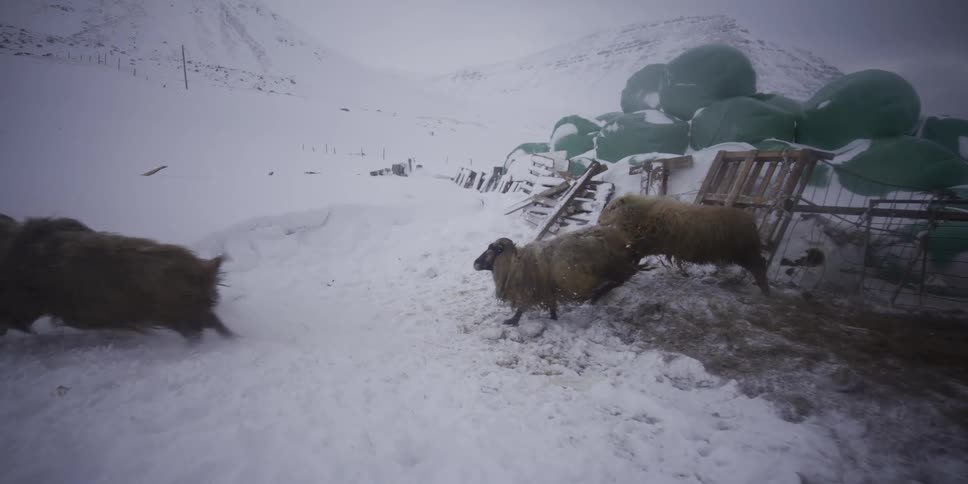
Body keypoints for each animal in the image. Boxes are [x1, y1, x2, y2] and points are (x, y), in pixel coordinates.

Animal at [473, 225, 641, 326]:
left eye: (492, 250)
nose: (475, 263)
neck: (515, 263)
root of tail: (623, 240)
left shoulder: (530, 290)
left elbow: (521, 308)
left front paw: (512, 321)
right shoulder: (548, 289)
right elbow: (552, 305)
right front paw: (553, 318)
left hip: (615, 269)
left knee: (621, 280)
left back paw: (597, 295)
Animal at [597, 194, 771, 295]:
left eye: (613, 207)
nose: (598, 221)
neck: (642, 214)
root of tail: (752, 222)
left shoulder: (645, 244)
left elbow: (634, 257)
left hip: (746, 252)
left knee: (760, 266)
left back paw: (765, 290)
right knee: (760, 264)